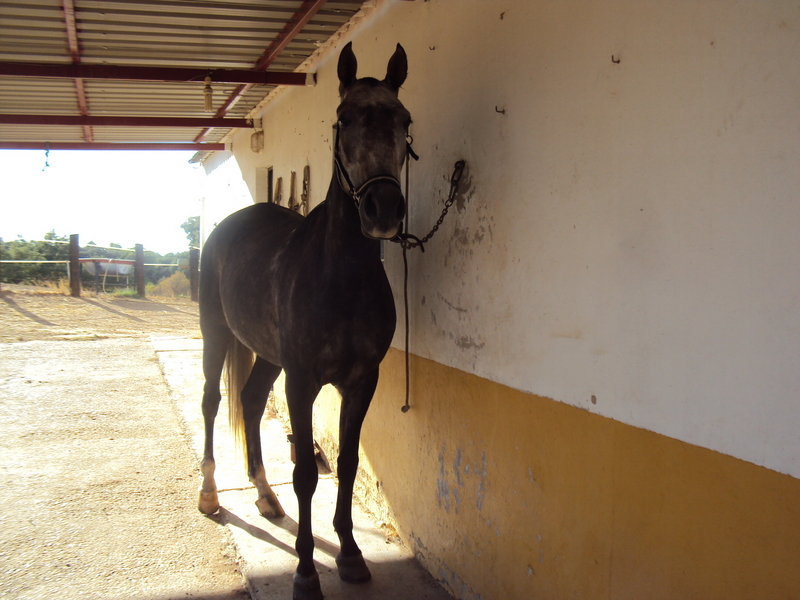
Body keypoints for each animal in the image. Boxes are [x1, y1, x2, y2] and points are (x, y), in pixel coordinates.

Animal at [196, 42, 411, 600]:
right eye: (342, 118)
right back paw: (209, 494)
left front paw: (351, 555)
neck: (341, 275)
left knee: (250, 400)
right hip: (215, 335)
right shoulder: (302, 382)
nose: (384, 210)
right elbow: (306, 476)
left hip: (269, 356)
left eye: (404, 120)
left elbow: (349, 464)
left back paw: (265, 497)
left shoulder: (361, 382)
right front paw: (306, 571)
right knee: (212, 402)